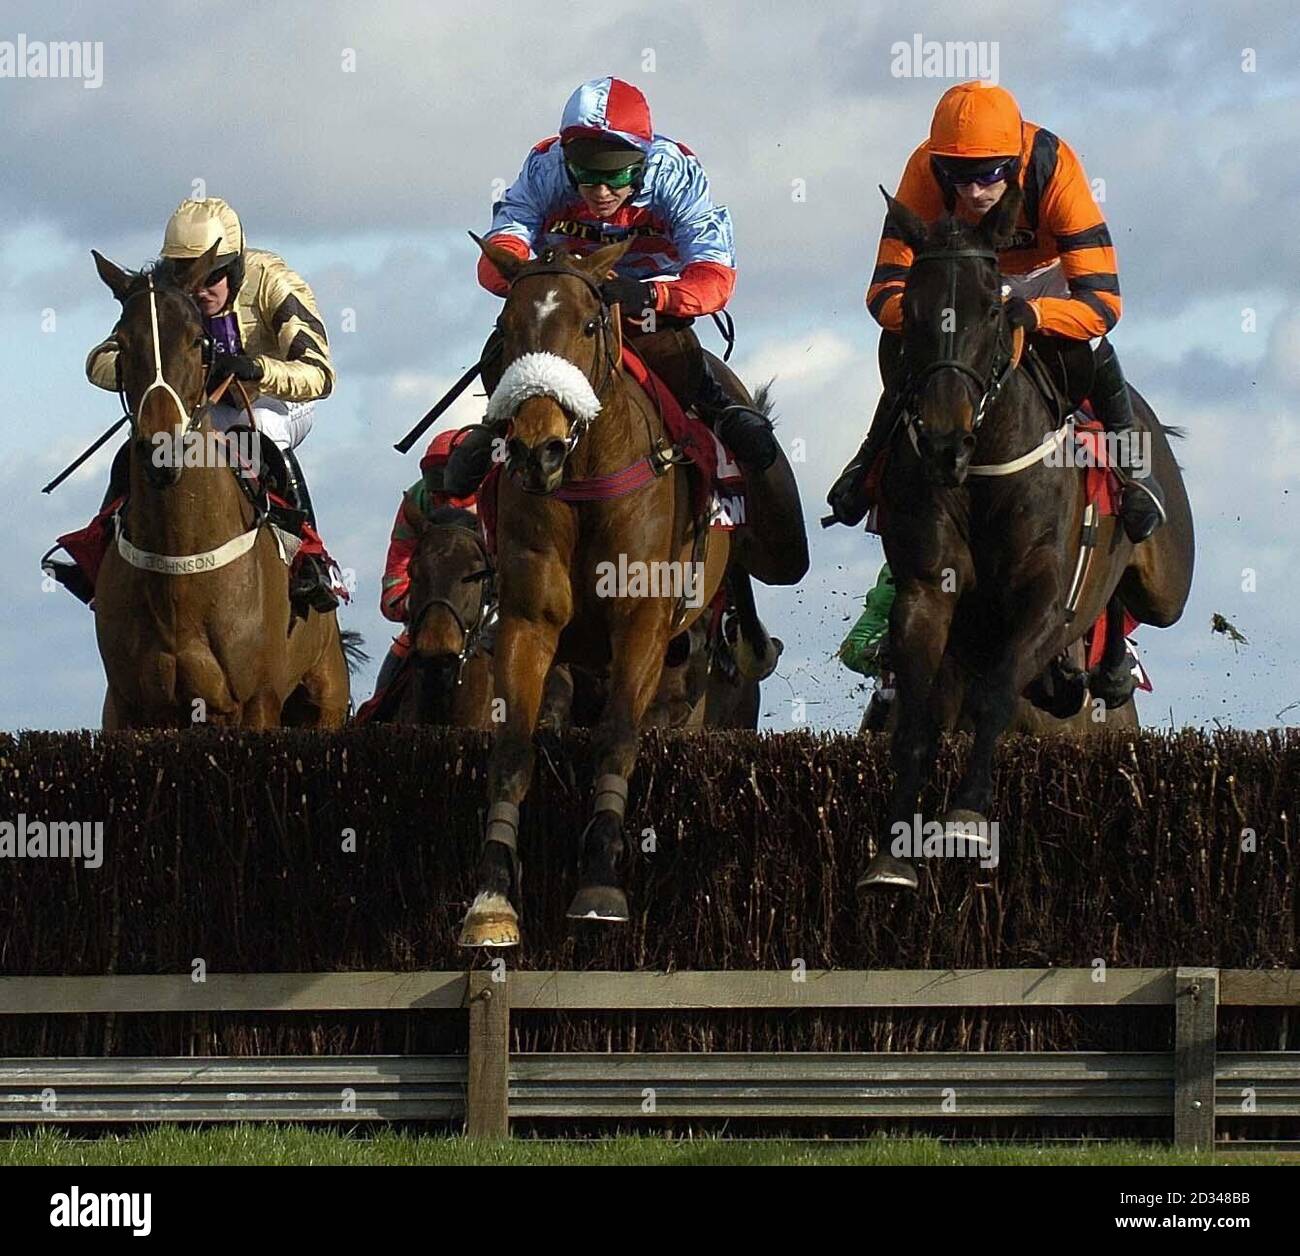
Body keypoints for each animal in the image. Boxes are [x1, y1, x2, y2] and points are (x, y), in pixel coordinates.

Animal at [87, 247, 353, 733]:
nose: (163, 451)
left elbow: (315, 366)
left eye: (197, 341)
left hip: (323, 702)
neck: (179, 572)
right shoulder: (129, 707)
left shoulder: (257, 702)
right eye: (121, 342)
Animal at [857, 189, 1190, 894]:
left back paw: (1110, 665)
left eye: (991, 307)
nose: (944, 442)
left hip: (1166, 586)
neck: (983, 465)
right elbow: (918, 717)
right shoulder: (926, 592)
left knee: (1130, 600)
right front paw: (894, 849)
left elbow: (997, 690)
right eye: (913, 312)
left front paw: (964, 817)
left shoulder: (1042, 597)